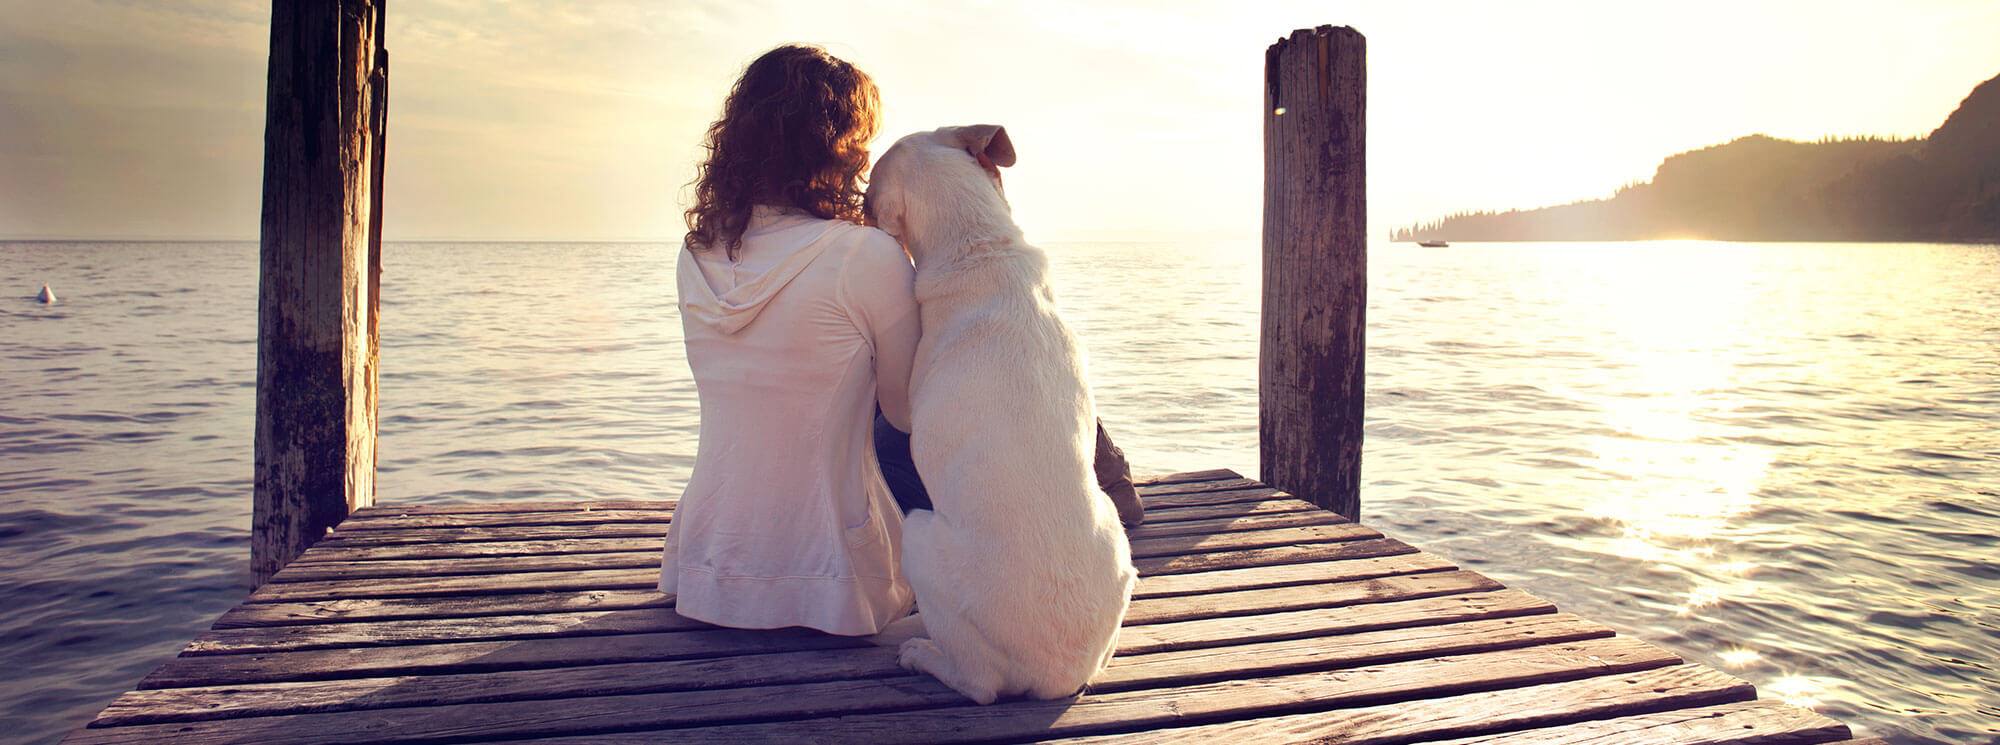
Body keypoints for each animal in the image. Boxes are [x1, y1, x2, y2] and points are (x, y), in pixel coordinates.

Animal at [864, 126, 1136, 704]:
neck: (979, 247)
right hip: (1116, 535)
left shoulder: (903, 408)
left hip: (918, 532)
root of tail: (1054, 677)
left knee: (980, 684)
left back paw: (924, 654)